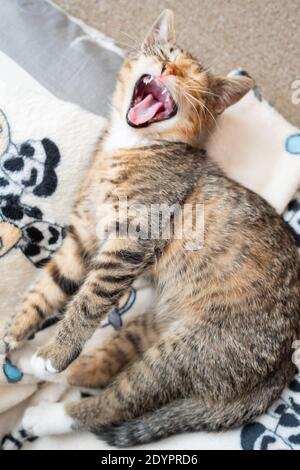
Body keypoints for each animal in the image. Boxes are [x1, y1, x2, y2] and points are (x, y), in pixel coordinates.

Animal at [1, 9, 298, 446]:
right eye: (166, 54)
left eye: (193, 79)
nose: (169, 69)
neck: (131, 146)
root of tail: (281, 367)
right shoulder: (83, 236)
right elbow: (48, 288)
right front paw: (13, 332)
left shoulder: (131, 239)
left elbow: (89, 301)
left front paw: (57, 352)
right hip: (155, 323)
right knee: (103, 368)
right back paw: (30, 363)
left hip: (191, 349)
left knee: (118, 402)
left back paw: (47, 412)